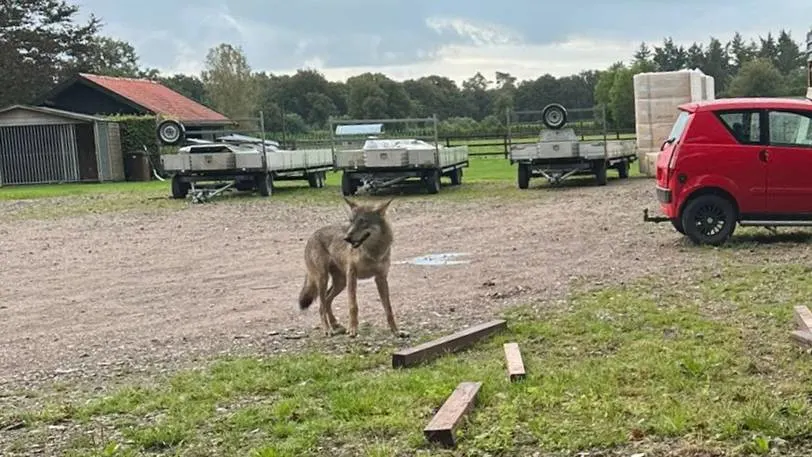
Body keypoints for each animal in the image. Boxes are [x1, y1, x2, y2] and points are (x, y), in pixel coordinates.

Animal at [297, 197, 408, 339]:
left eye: (363, 221)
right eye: (351, 221)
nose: (347, 238)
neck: (372, 252)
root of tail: (312, 235)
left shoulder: (381, 278)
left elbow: (388, 308)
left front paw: (396, 331)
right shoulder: (352, 275)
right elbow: (353, 306)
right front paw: (353, 330)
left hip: (341, 283)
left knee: (327, 300)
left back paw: (335, 325)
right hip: (323, 279)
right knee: (321, 305)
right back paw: (327, 329)